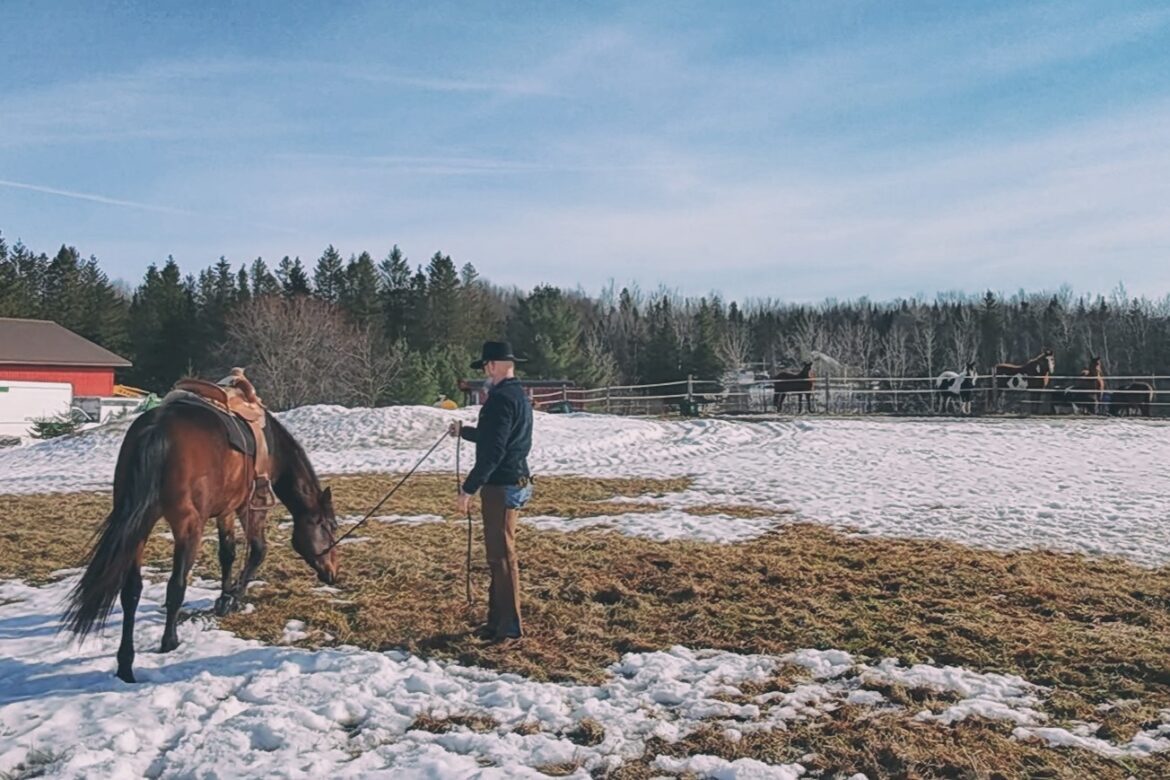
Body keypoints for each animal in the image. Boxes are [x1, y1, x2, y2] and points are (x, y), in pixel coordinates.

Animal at [63, 396, 339, 683]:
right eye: (331, 527)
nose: (332, 572)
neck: (272, 446)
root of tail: (157, 429)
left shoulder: (226, 510)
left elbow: (227, 553)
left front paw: (224, 596)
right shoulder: (250, 506)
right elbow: (258, 551)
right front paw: (232, 599)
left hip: (139, 527)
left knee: (131, 591)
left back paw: (126, 664)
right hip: (188, 527)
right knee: (176, 585)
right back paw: (170, 641)